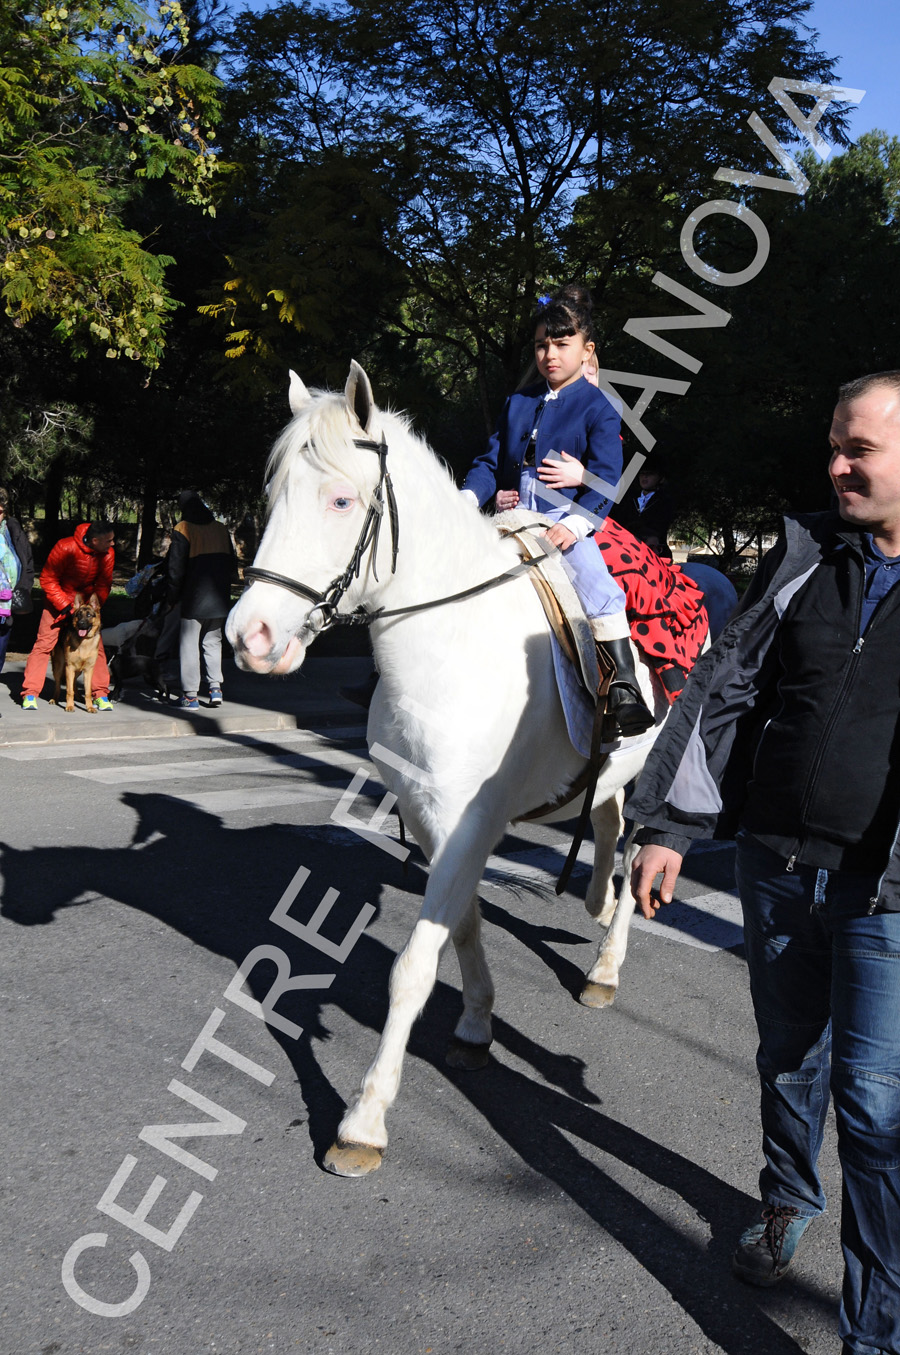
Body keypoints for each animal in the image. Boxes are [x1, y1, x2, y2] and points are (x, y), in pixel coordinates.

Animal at [229, 360, 672, 1176]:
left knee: (639, 861)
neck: (454, 642)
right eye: (273, 496)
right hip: (609, 780)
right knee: (605, 825)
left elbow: (411, 968)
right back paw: (594, 905)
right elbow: (461, 925)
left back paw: (605, 965)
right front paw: (475, 1023)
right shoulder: (436, 817)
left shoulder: (468, 824)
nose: (252, 636)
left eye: (341, 499)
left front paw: (363, 1122)